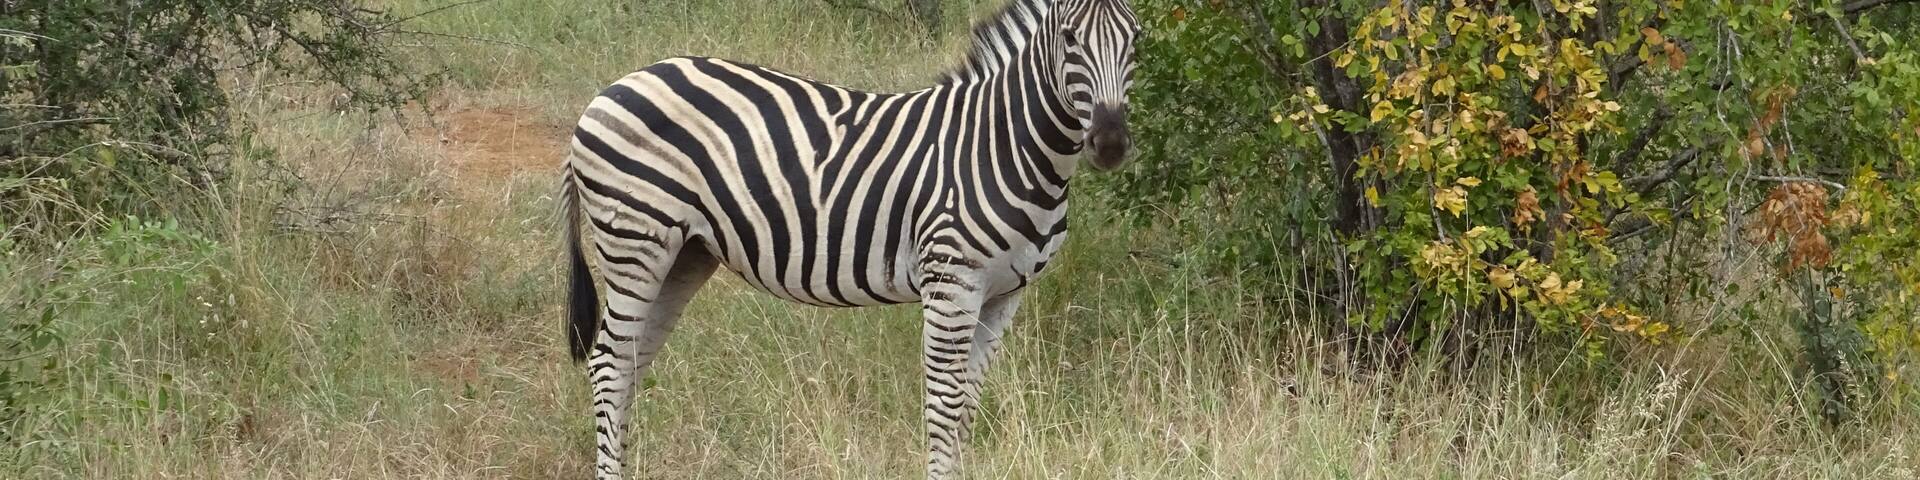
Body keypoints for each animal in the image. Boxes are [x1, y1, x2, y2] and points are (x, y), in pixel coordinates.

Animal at [558, 0, 1139, 477]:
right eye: (1070, 38)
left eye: (1135, 39)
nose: (1110, 143)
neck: (1003, 147)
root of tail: (611, 90)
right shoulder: (951, 284)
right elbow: (944, 404)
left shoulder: (1004, 295)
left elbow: (968, 406)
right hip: (635, 240)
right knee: (609, 363)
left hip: (684, 255)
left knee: (631, 362)